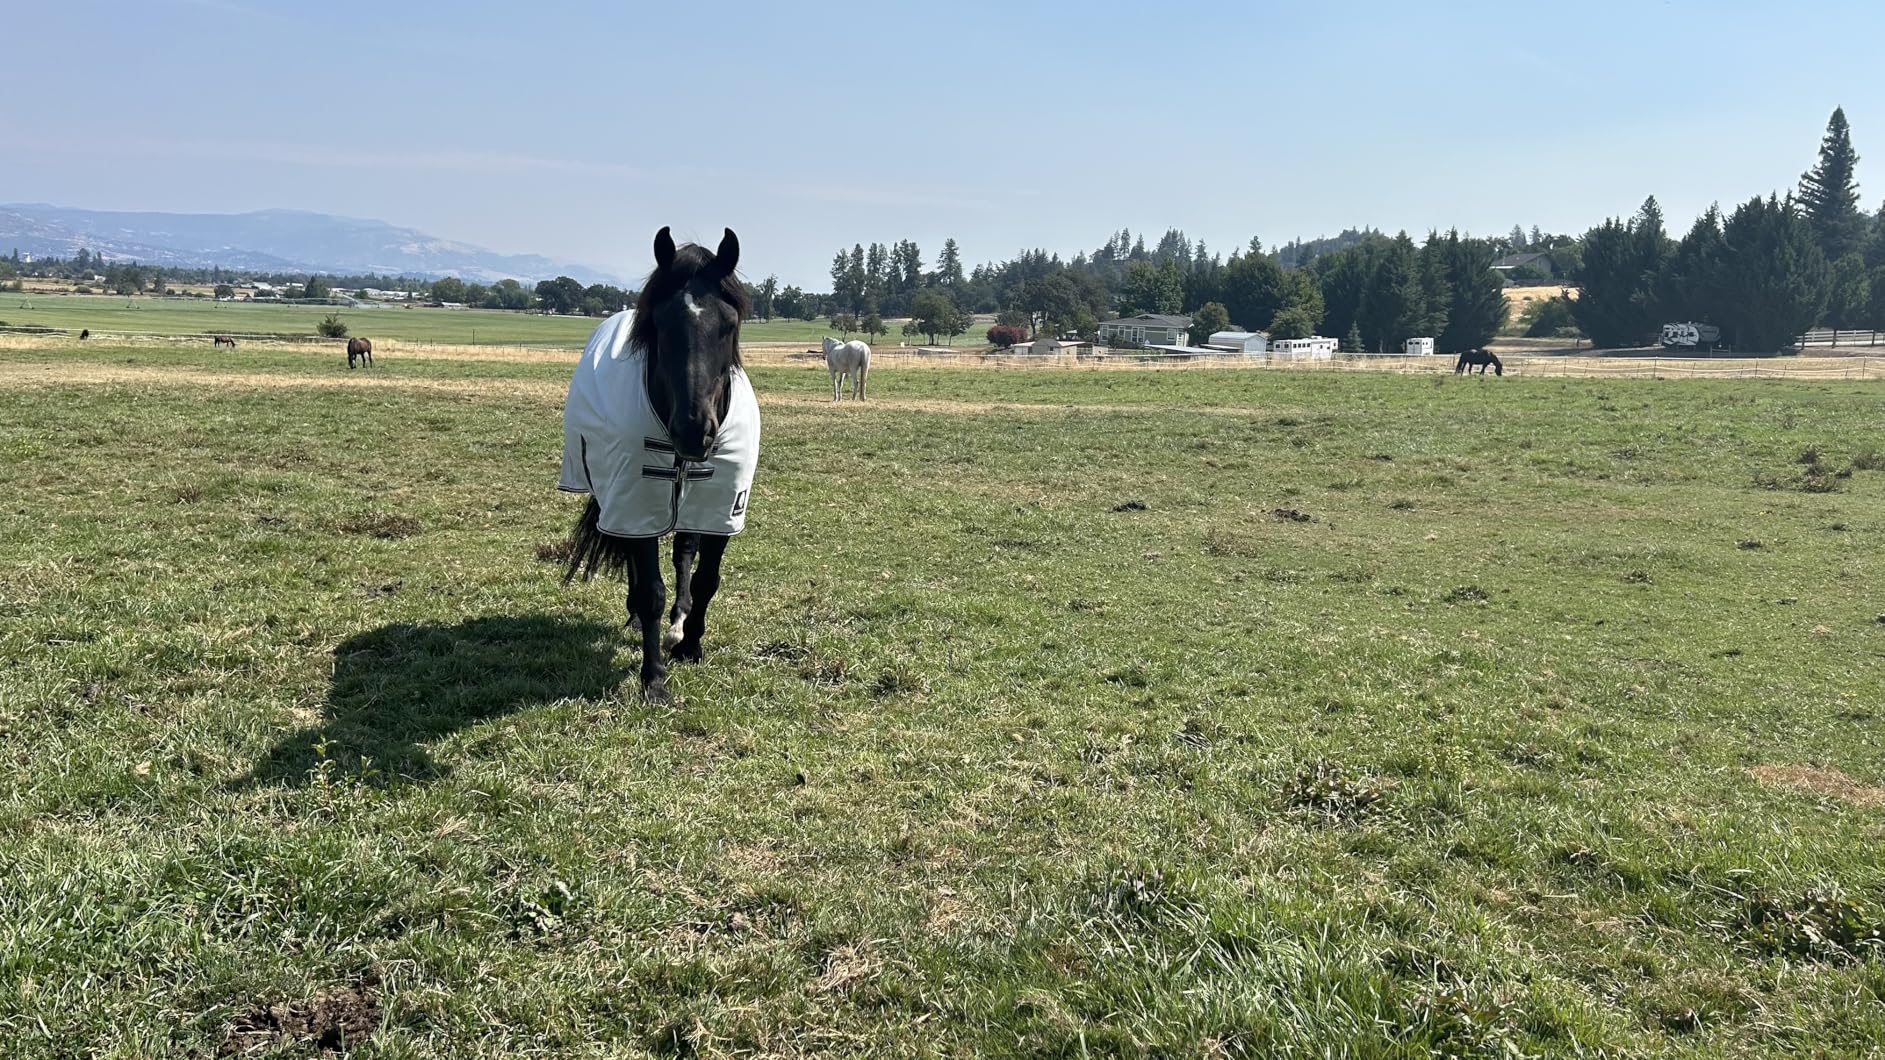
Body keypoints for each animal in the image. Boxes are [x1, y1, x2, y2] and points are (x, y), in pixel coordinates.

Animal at [561, 227, 756, 700]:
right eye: (662, 325)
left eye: (729, 325)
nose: (694, 431)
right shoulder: (636, 502)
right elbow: (650, 588)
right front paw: (653, 678)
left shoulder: (721, 506)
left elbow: (706, 579)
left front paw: (691, 646)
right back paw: (638, 618)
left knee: (684, 551)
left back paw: (679, 623)